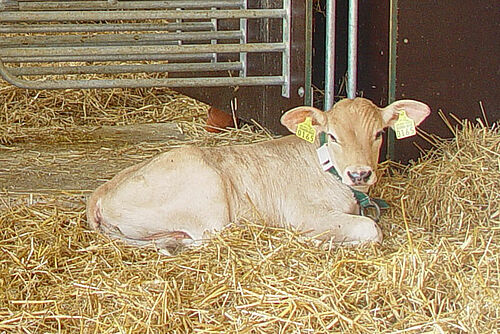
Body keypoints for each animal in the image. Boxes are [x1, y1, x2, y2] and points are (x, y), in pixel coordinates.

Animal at [86, 96, 430, 250]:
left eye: (379, 134)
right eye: (332, 136)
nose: (359, 174)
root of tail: (99, 194)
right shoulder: (303, 214)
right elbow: (371, 229)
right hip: (209, 199)